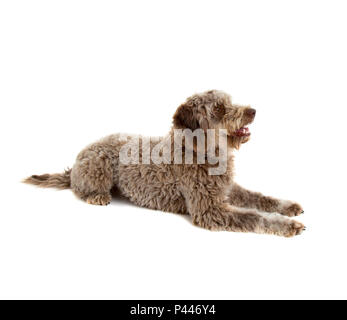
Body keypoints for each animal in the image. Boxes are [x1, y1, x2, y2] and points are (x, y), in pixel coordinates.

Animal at [24, 90, 306, 238]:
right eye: (218, 108)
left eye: (230, 101)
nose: (253, 111)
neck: (198, 151)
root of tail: (78, 159)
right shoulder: (210, 209)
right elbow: (254, 216)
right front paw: (287, 225)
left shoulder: (227, 189)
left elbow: (259, 198)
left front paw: (287, 206)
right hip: (99, 167)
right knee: (80, 189)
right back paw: (97, 196)